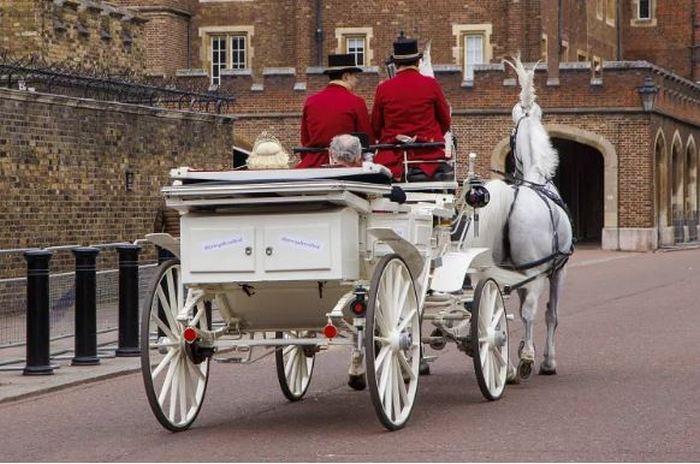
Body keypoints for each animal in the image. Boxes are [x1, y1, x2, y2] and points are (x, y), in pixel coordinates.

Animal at [459, 56, 574, 381]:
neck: (536, 178)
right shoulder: (555, 270)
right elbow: (550, 314)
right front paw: (545, 360)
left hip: (487, 271)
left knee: (491, 314)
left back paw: (504, 366)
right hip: (535, 270)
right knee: (529, 311)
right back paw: (524, 361)